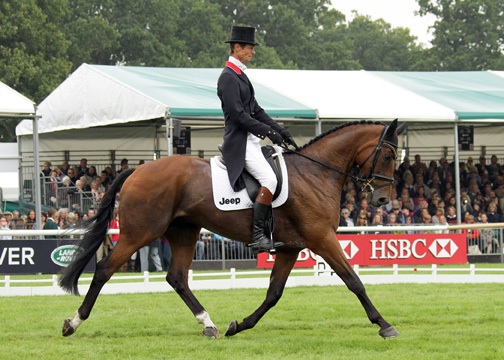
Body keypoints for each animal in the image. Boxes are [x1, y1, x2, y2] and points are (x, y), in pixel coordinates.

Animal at [61, 119, 404, 338]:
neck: (315, 172)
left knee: (177, 278)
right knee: (105, 269)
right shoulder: (322, 239)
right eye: (388, 155)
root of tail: (137, 169)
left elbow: (274, 293)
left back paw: (209, 325)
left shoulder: (291, 247)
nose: (383, 199)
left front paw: (239, 326)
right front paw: (384, 324)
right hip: (139, 233)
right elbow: (353, 281)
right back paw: (73, 323)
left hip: (184, 232)